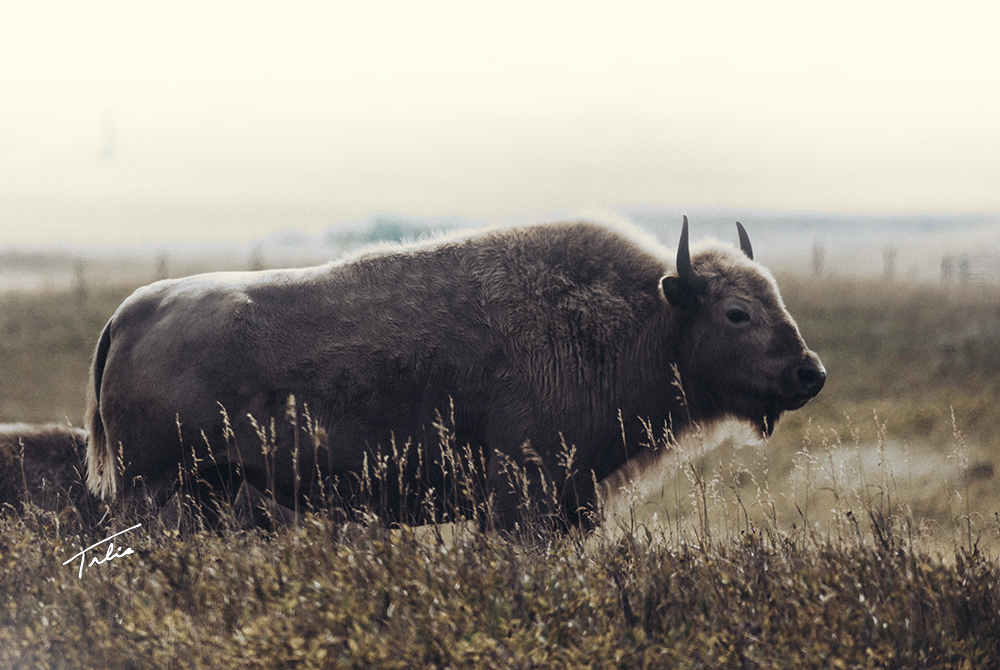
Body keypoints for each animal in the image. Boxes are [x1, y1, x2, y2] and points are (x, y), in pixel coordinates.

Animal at [85, 218, 824, 530]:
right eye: (736, 312)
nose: (808, 373)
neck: (640, 318)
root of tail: (128, 313)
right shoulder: (521, 502)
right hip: (150, 490)